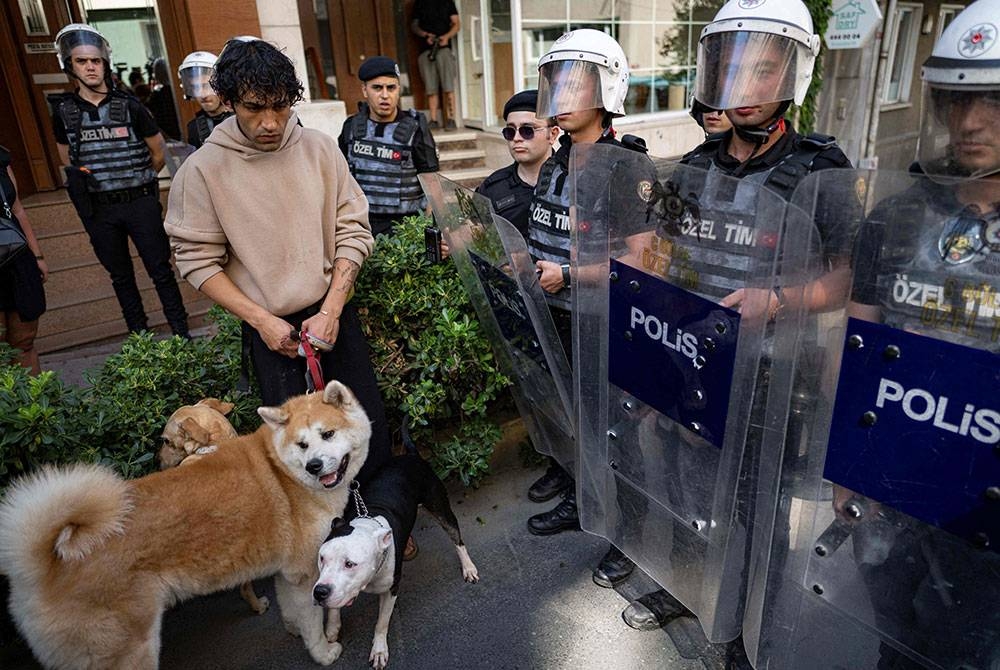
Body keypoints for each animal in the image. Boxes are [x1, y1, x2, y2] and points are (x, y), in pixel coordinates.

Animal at [316, 434, 480, 668]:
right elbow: (334, 605)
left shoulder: (391, 589)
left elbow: (382, 622)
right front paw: (332, 627)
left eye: (350, 564)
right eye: (322, 558)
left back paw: (468, 567)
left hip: (440, 506)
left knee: (457, 538)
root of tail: (411, 455)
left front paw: (379, 650)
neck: (368, 523)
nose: (319, 592)